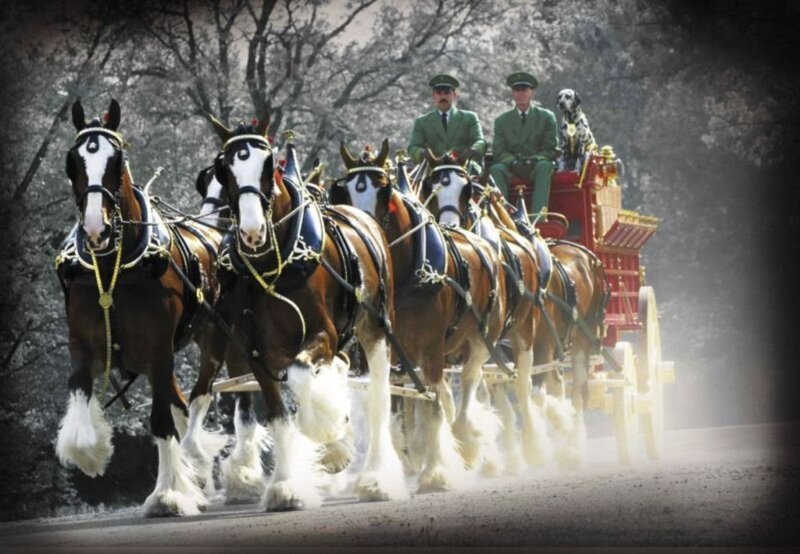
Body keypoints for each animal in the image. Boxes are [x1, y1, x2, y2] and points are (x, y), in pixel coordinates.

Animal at [55, 99, 226, 516]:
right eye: (73, 160)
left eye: (116, 160)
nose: (96, 229)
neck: (112, 269)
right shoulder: (82, 345)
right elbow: (80, 390)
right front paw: (93, 454)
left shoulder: (159, 349)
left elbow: (160, 420)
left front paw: (167, 493)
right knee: (182, 404)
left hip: (214, 339)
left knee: (198, 397)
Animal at [209, 117, 407, 508]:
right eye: (225, 169)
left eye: (269, 164)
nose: (252, 232)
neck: (273, 266)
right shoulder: (255, 352)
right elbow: (278, 415)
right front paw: (286, 486)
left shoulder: (323, 334)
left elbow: (300, 377)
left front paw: (329, 438)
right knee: (339, 368)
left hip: (376, 327)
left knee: (378, 395)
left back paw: (376, 477)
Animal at [331, 141, 507, 488]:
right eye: (343, 191)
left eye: (384, 189)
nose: (362, 234)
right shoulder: (384, 346)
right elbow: (390, 402)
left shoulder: (431, 347)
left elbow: (433, 406)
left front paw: (435, 471)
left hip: (481, 339)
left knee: (469, 382)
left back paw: (467, 441)